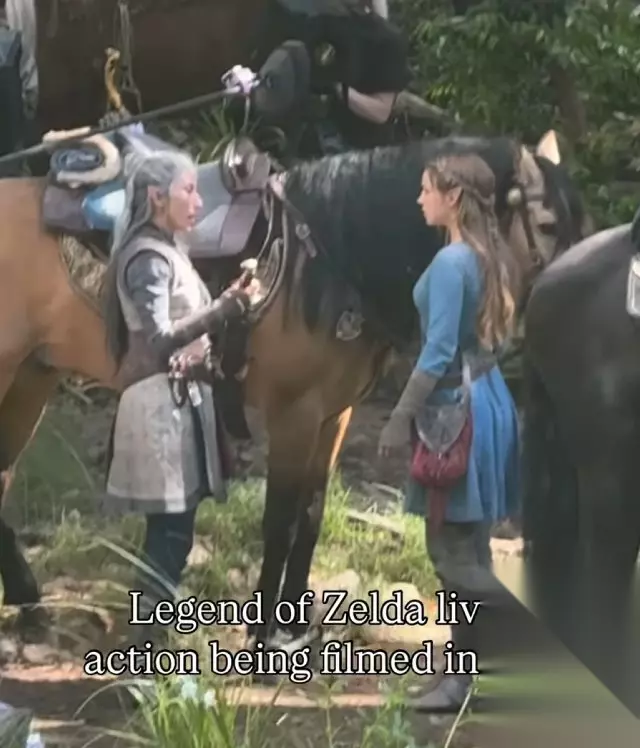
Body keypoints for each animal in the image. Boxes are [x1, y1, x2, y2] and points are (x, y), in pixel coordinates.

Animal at [0, 127, 587, 654]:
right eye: (546, 222)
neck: (329, 258)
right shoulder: (294, 413)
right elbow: (280, 521)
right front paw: (263, 638)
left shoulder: (334, 415)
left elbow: (311, 515)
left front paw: (297, 627)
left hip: (33, 376)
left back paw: (30, 607)